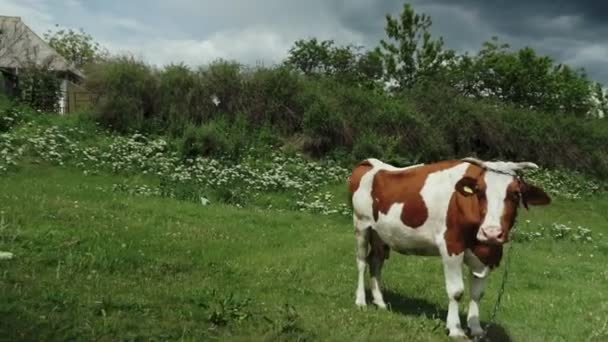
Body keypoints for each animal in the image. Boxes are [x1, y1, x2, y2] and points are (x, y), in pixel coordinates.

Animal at [346, 158, 552, 340]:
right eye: (479, 191)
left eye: (516, 193)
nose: (492, 232)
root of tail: (371, 163)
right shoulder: (451, 246)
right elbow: (456, 291)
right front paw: (455, 329)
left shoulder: (487, 254)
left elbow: (477, 293)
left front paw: (476, 328)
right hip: (361, 225)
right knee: (361, 262)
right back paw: (361, 301)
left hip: (381, 235)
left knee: (375, 262)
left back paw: (380, 302)